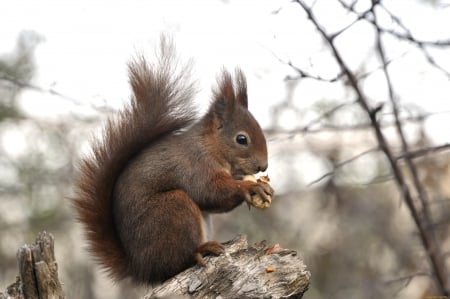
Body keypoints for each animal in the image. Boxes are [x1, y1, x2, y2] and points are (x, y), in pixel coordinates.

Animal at [73, 38, 274, 284]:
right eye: (241, 139)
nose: (263, 166)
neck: (210, 146)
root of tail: (142, 268)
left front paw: (264, 186)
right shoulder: (195, 165)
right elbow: (209, 191)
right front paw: (249, 187)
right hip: (174, 209)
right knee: (178, 261)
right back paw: (201, 250)